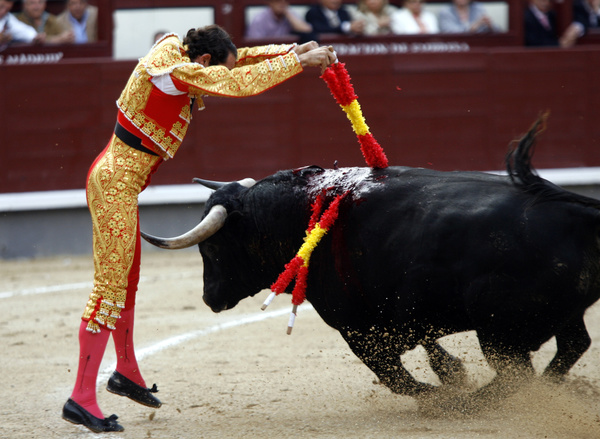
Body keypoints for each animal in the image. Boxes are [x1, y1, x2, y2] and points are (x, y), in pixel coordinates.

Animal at [142, 119, 600, 406]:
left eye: (213, 250)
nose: (209, 299)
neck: (299, 212)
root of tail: (578, 213)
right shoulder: (404, 315)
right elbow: (426, 353)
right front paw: (452, 376)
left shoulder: (356, 328)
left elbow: (394, 377)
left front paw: (441, 394)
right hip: (549, 319)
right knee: (571, 347)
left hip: (498, 330)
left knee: (516, 374)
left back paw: (470, 403)